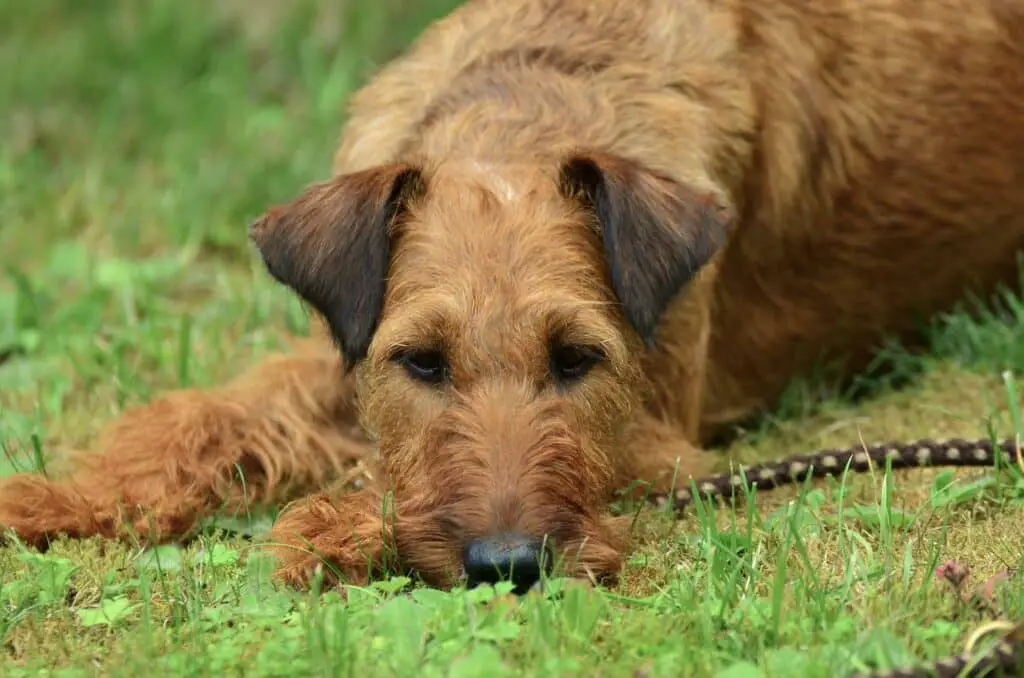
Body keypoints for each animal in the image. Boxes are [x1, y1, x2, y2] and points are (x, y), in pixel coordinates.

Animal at [2, 0, 1024, 594]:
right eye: (422, 361)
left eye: (577, 359)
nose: (510, 566)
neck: (522, 107)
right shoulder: (347, 344)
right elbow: (202, 416)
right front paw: (59, 498)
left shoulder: (662, 440)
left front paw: (332, 527)